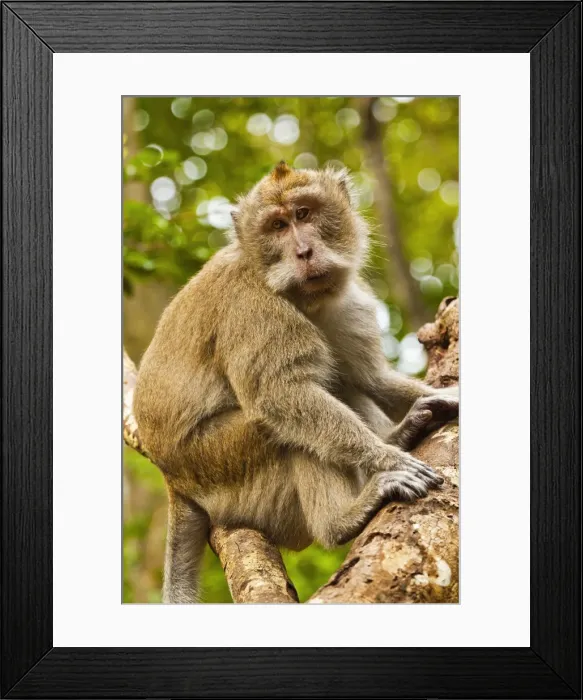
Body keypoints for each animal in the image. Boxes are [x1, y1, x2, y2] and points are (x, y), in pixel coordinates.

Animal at [133, 162, 459, 603]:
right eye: (277, 226)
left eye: (304, 214)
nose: (304, 252)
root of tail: (173, 480)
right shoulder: (253, 308)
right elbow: (280, 395)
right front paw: (388, 459)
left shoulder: (348, 304)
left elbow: (370, 378)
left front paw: (446, 398)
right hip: (217, 467)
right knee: (284, 432)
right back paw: (342, 519)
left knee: (338, 385)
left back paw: (403, 432)